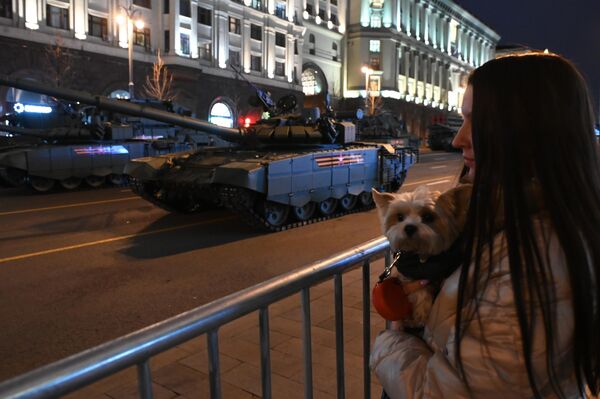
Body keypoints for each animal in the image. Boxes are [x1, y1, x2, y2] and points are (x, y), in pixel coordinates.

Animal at [370, 184, 474, 324]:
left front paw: (420, 314)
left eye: (428, 217)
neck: (420, 256)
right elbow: (419, 292)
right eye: (400, 217)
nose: (409, 227)